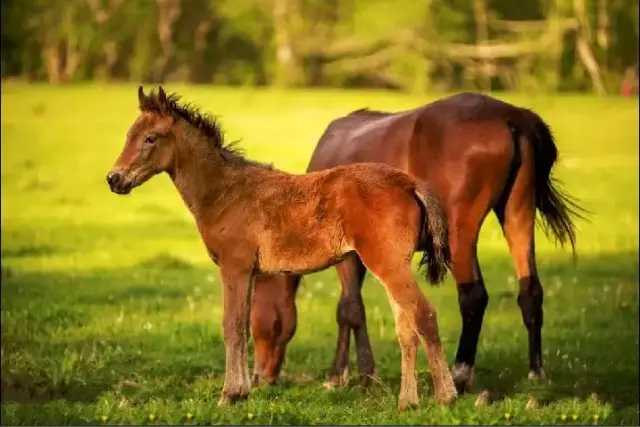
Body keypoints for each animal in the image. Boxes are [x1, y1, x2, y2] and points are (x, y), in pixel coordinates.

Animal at [107, 85, 460, 410]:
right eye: (128, 135)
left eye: (151, 138)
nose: (114, 179)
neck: (225, 192)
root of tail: (409, 183)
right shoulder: (249, 271)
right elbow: (244, 325)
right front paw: (243, 391)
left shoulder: (234, 266)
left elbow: (231, 325)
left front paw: (229, 394)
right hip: (392, 264)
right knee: (406, 327)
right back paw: (407, 401)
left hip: (386, 263)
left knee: (424, 314)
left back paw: (446, 395)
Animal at [250, 93, 584, 394]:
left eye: (263, 322)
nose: (261, 377)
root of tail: (511, 116)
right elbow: (350, 308)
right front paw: (345, 374)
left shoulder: (348, 257)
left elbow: (350, 308)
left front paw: (357, 375)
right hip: (518, 215)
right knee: (530, 291)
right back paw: (535, 373)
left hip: (460, 234)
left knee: (473, 296)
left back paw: (460, 374)